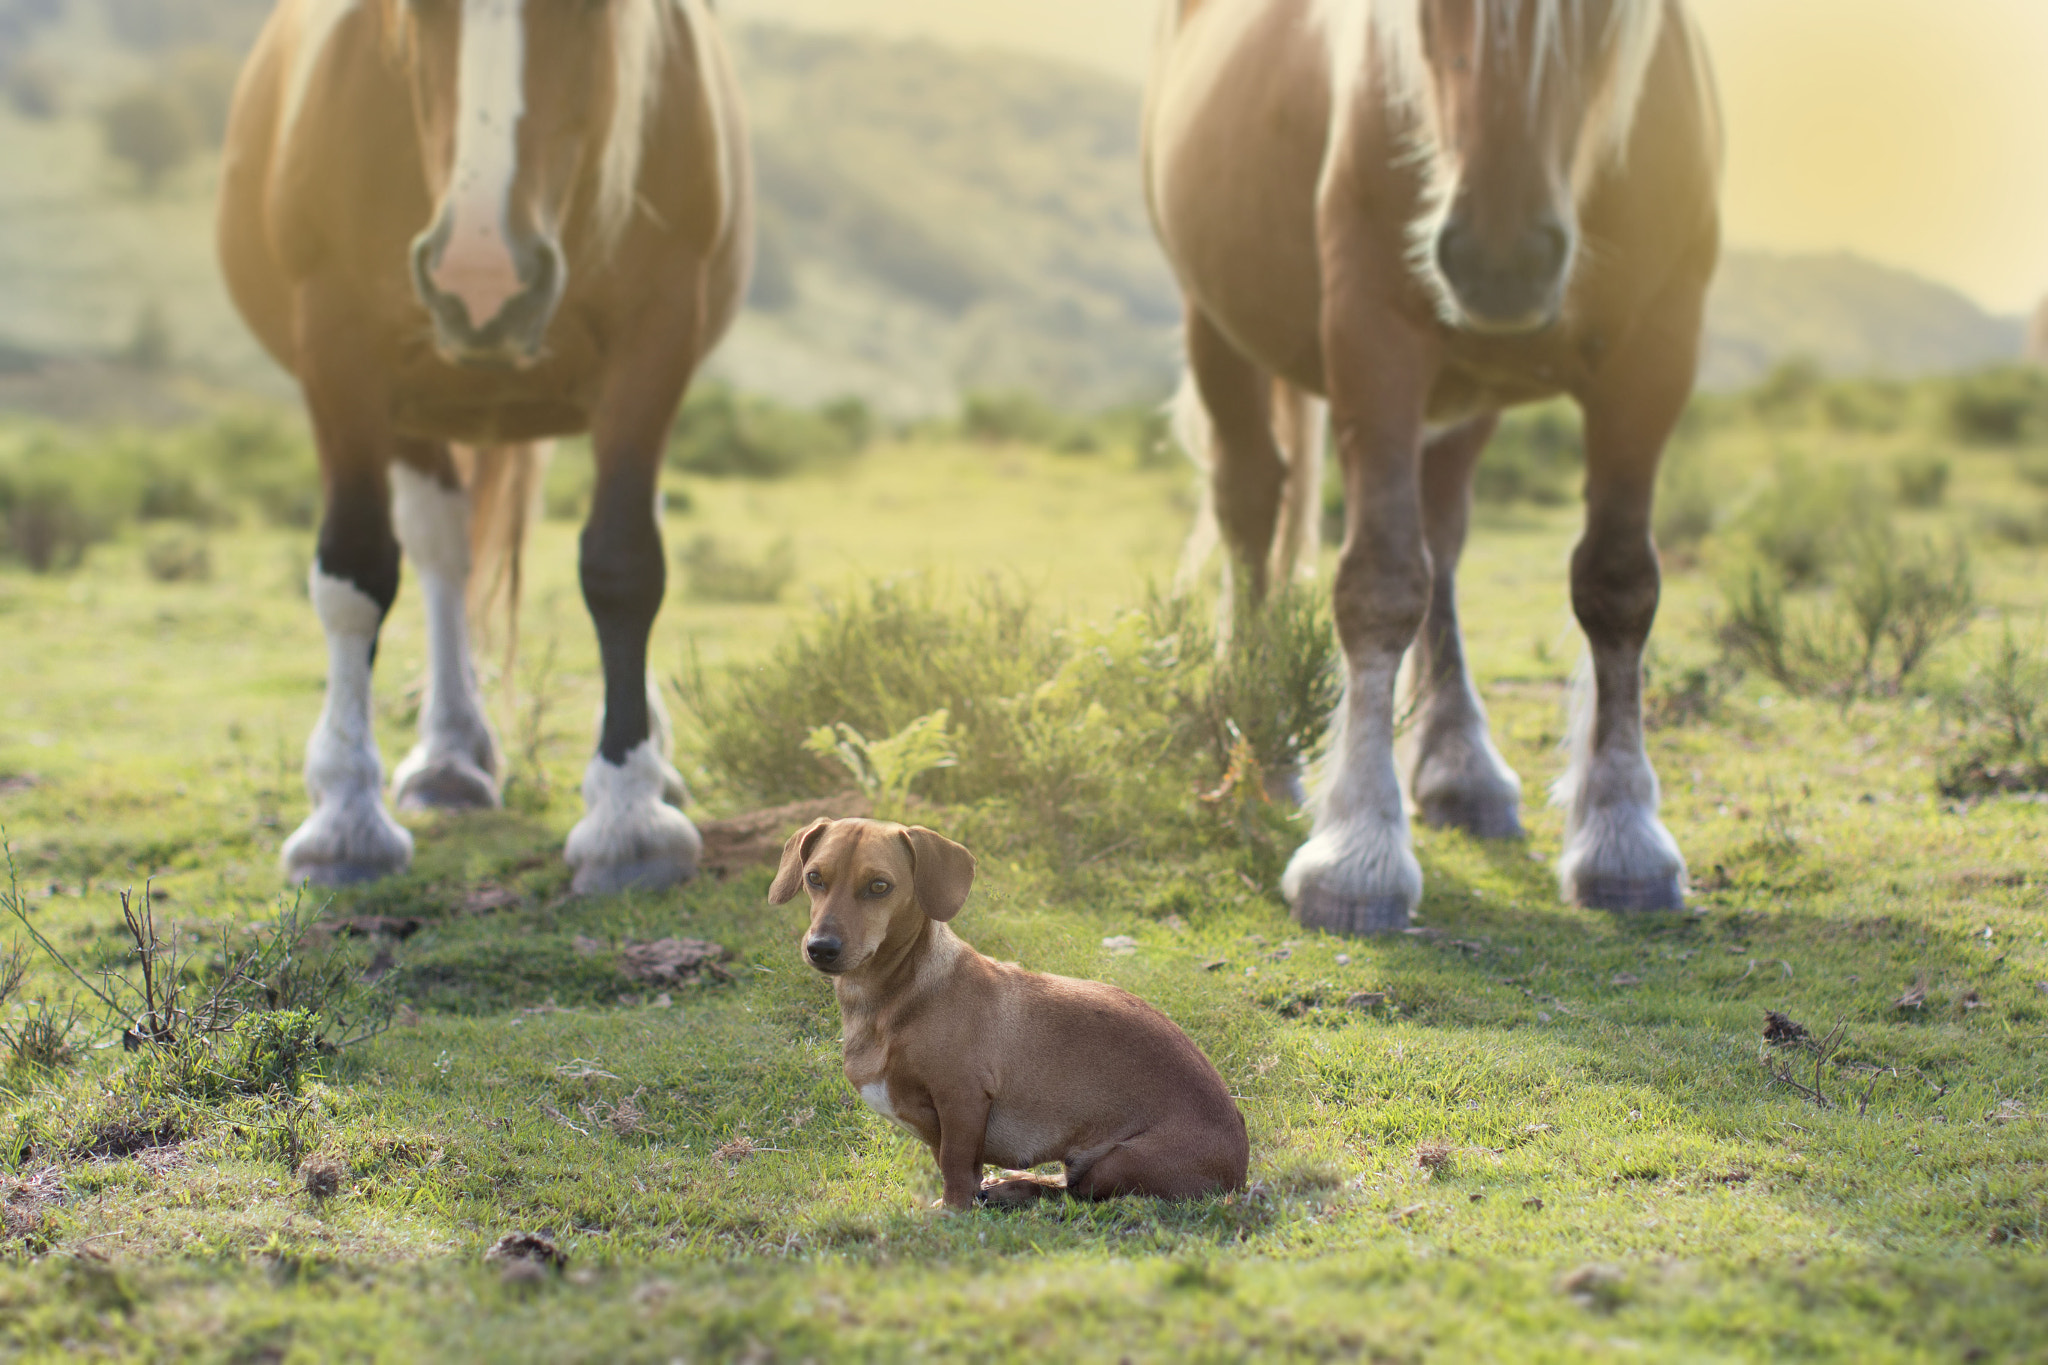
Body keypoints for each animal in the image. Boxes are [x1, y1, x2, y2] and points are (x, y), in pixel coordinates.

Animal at [217, 0, 751, 892]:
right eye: (416, 13)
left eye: (589, 14)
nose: (482, 282)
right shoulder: (335, 340)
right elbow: (355, 573)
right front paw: (344, 821)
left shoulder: (660, 332)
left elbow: (624, 563)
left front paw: (629, 815)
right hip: (415, 406)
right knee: (441, 551)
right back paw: (448, 757)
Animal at [1145, 0, 1720, 933]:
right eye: (1426, 15)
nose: (1500, 257)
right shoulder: (1372, 332)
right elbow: (1378, 586)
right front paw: (1359, 853)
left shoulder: (1658, 349)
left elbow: (1619, 583)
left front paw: (1623, 837)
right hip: (1218, 323)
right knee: (1251, 505)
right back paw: (1267, 747)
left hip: (1465, 391)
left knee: (1442, 539)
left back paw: (1462, 770)